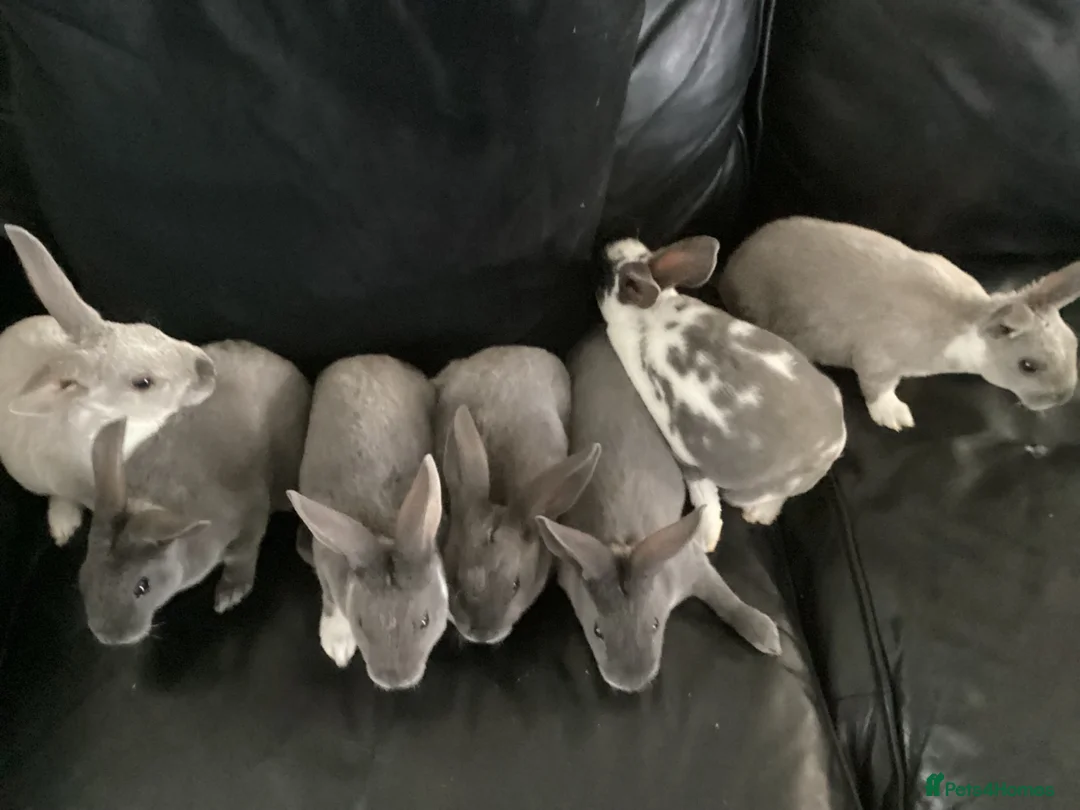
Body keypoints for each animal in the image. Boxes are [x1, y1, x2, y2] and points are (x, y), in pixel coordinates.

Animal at [78, 340, 311, 645]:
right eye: (84, 577)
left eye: (142, 587)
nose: (108, 637)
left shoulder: (250, 514)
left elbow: (241, 555)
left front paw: (230, 594)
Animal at [286, 355, 447, 691]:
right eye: (361, 622)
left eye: (424, 620)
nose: (394, 681)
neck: (382, 532)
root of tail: (365, 357)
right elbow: (331, 600)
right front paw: (337, 645)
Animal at [535, 328, 781, 693]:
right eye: (597, 631)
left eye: (653, 624)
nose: (631, 683)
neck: (622, 539)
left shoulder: (692, 565)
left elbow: (726, 597)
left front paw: (766, 634)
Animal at [596, 235, 847, 527]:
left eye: (602, 275)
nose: (603, 246)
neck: (647, 315)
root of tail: (834, 445)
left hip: (749, 490)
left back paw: (758, 515)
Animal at [717, 216, 1080, 431]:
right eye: (1028, 366)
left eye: (1074, 344)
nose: (1064, 398)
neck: (966, 323)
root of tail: (730, 268)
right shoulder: (878, 357)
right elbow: (877, 387)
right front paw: (895, 417)